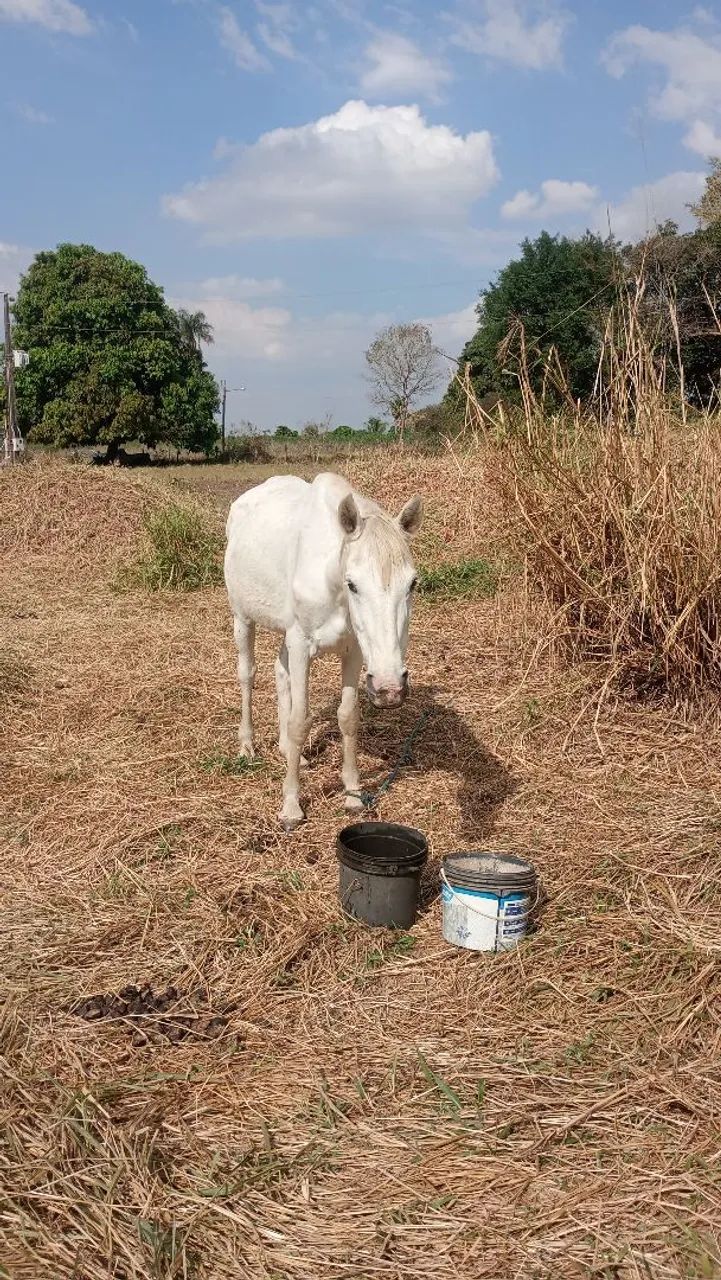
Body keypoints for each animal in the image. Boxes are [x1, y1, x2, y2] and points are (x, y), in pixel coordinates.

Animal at [224, 472, 423, 830]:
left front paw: (353, 795)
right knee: (247, 674)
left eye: (412, 584)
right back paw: (247, 746)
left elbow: (348, 716)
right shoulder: (302, 645)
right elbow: (300, 720)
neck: (331, 583)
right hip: (242, 618)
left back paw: (290, 752)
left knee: (280, 672)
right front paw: (291, 806)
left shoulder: (354, 652)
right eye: (353, 584)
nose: (390, 689)